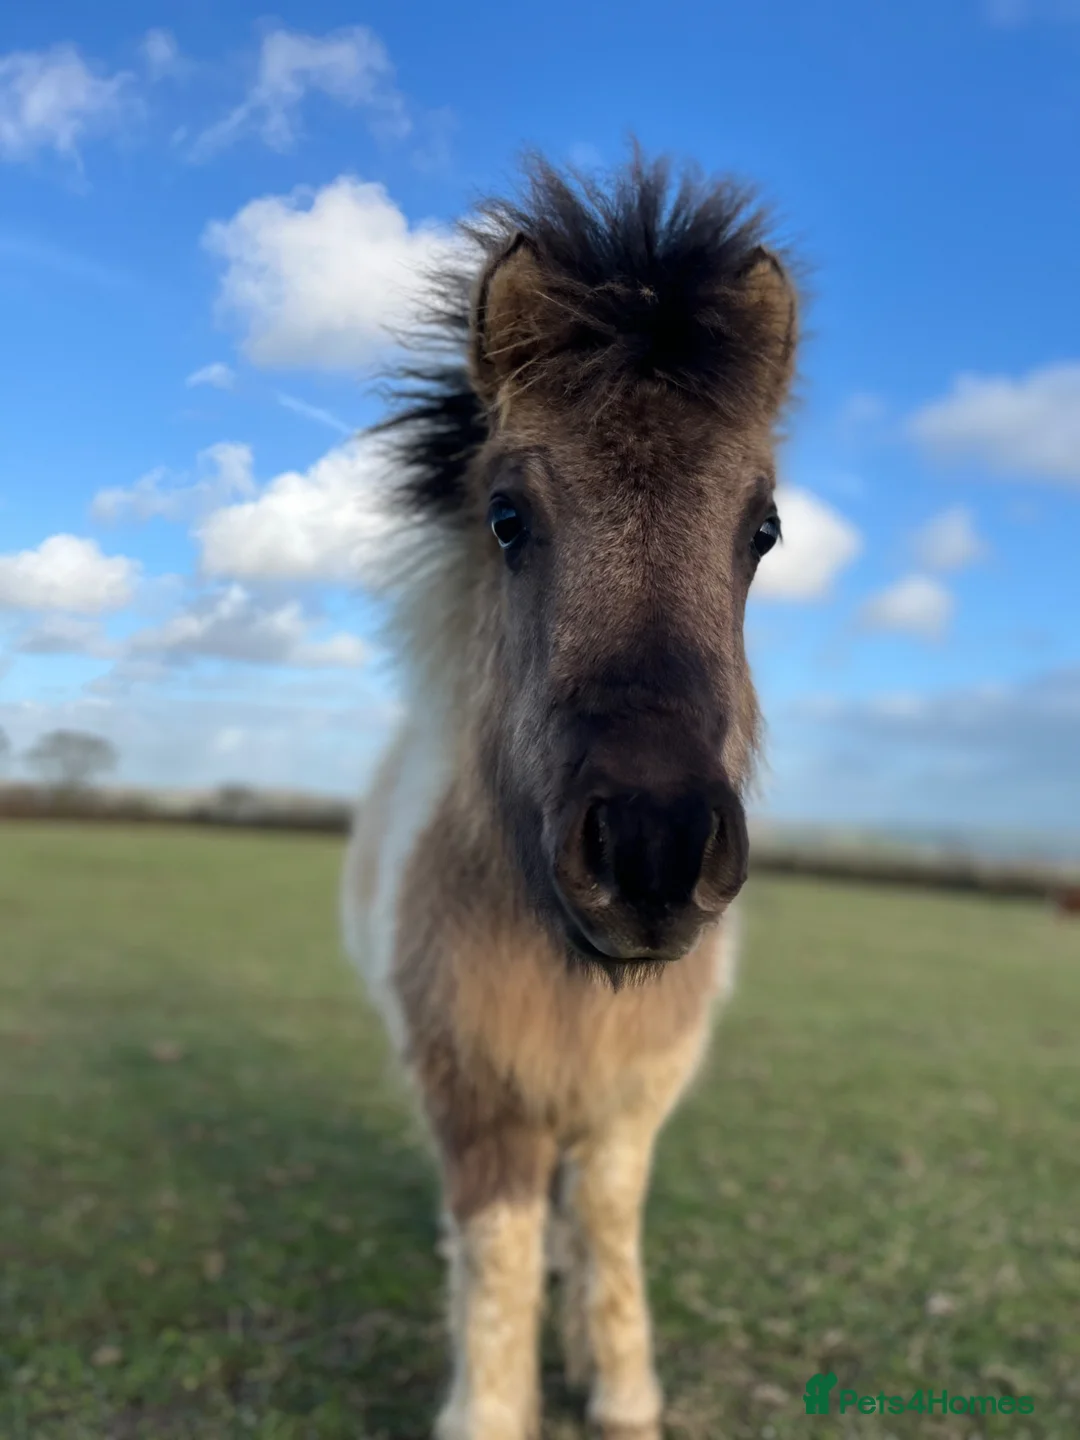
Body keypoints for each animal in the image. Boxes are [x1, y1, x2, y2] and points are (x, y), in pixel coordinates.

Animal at [342, 151, 800, 1440]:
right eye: (507, 519)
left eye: (764, 529)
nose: (653, 848)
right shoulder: (475, 1095)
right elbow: (493, 1253)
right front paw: (493, 1401)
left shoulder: (631, 1096)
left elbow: (603, 1224)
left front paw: (621, 1389)